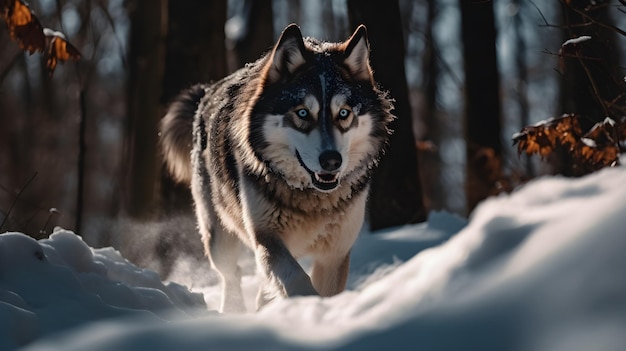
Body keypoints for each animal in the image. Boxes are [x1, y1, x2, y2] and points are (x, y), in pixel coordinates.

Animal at [161, 23, 392, 312]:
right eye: (302, 113)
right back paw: (235, 310)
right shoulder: (267, 238)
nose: (332, 160)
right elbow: (297, 279)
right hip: (219, 237)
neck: (310, 199)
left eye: (343, 113)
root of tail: (205, 93)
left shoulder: (335, 254)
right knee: (231, 274)